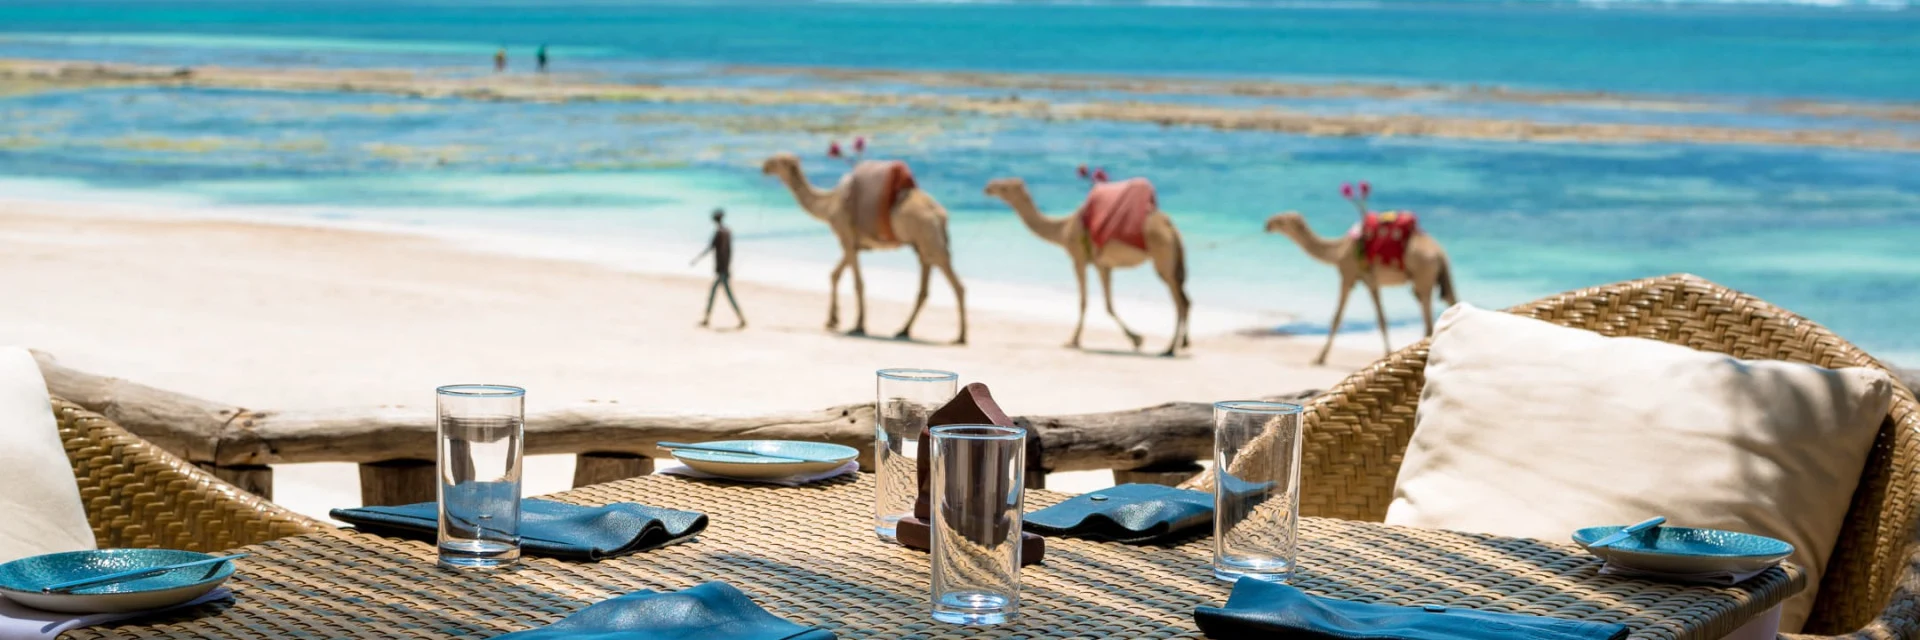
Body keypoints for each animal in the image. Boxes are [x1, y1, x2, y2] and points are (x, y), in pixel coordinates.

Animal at [761, 153, 968, 344]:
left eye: (777, 160)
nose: (764, 166)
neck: (829, 205)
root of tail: (941, 215)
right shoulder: (854, 245)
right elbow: (835, 274)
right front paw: (832, 320)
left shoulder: (846, 237)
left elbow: (858, 283)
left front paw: (858, 325)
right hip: (922, 245)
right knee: (924, 288)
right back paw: (903, 330)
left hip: (930, 240)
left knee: (957, 285)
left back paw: (961, 336)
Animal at [983, 177, 1191, 357]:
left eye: (1004, 187)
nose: (988, 186)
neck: (1063, 229)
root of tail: (1172, 228)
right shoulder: (1104, 265)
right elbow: (1109, 304)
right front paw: (1136, 339)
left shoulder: (1080, 259)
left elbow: (1085, 301)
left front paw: (1073, 341)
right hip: (1172, 261)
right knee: (1185, 299)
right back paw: (1182, 343)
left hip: (1162, 257)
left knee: (1179, 301)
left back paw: (1169, 348)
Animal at [1264, 210, 1456, 366]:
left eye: (1282, 220)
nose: (1268, 224)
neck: (1338, 251)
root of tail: (1440, 253)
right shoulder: (1370, 281)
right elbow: (1381, 318)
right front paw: (1388, 354)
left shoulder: (1349, 275)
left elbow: (1338, 317)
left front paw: (1319, 358)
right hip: (1438, 277)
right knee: (1451, 302)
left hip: (1423, 276)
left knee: (1429, 321)